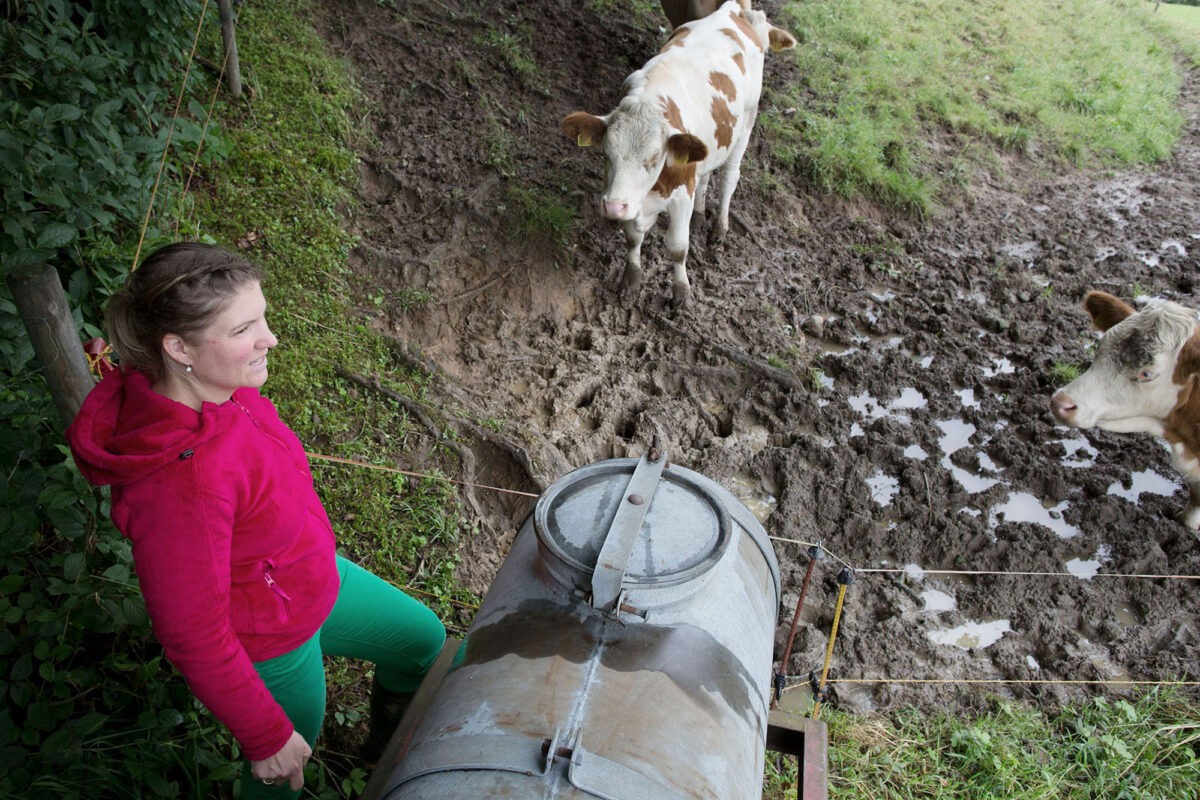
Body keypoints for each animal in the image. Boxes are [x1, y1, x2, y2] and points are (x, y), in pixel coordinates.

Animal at [564, 0, 796, 307]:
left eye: (652, 160)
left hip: (747, 121)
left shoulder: (680, 194)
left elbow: (676, 247)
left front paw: (681, 292)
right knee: (706, 174)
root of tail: (732, 10)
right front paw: (631, 280)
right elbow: (632, 239)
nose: (613, 208)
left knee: (729, 177)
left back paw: (719, 229)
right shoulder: (634, 198)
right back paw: (699, 216)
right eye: (605, 154)